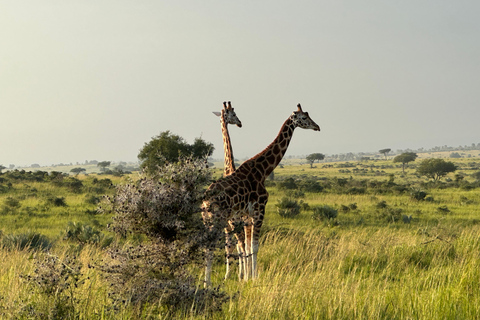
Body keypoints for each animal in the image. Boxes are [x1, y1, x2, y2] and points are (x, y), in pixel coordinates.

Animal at [201, 104, 320, 286]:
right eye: (304, 118)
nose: (317, 127)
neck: (263, 171)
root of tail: (206, 201)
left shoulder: (248, 215)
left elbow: (248, 246)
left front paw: (247, 277)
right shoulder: (258, 210)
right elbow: (253, 247)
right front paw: (253, 277)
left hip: (209, 220)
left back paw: (208, 282)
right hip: (219, 219)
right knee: (213, 246)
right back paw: (209, 283)